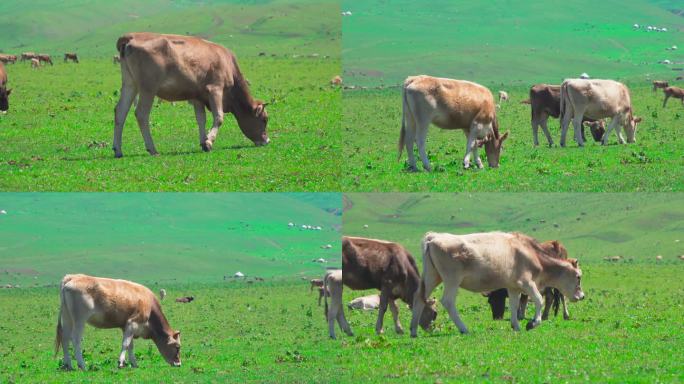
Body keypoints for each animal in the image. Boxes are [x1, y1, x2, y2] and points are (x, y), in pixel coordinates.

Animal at [113, 32, 270, 158]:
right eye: (264, 119)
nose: (267, 141)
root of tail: (131, 36)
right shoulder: (215, 89)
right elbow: (219, 117)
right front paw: (209, 142)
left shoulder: (197, 96)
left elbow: (201, 119)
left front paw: (203, 141)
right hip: (148, 88)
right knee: (141, 114)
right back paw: (152, 149)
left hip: (130, 84)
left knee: (120, 111)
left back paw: (118, 150)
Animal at [408, 231, 584, 336]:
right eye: (578, 276)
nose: (582, 296)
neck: (531, 254)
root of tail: (433, 237)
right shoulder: (526, 282)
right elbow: (538, 299)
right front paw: (533, 323)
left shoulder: (513, 286)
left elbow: (514, 305)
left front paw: (516, 326)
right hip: (452, 280)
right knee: (448, 301)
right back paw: (464, 329)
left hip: (432, 277)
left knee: (419, 297)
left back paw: (413, 331)